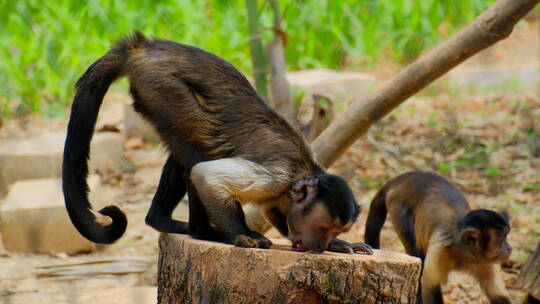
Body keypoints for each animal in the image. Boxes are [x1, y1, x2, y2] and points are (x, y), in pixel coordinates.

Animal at [61, 31, 374, 254]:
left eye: (334, 232)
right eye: (323, 227)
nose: (321, 246)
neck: (302, 172)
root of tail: (144, 47)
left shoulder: (279, 195)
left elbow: (275, 213)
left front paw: (341, 247)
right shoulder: (275, 177)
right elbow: (207, 175)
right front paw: (242, 234)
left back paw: (167, 222)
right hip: (161, 86)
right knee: (194, 152)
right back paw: (202, 232)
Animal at [364, 172, 512, 302]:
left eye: (506, 236)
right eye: (501, 239)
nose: (509, 248)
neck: (465, 254)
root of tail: (405, 177)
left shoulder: (485, 261)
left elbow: (498, 296)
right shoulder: (441, 249)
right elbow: (429, 286)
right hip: (397, 205)